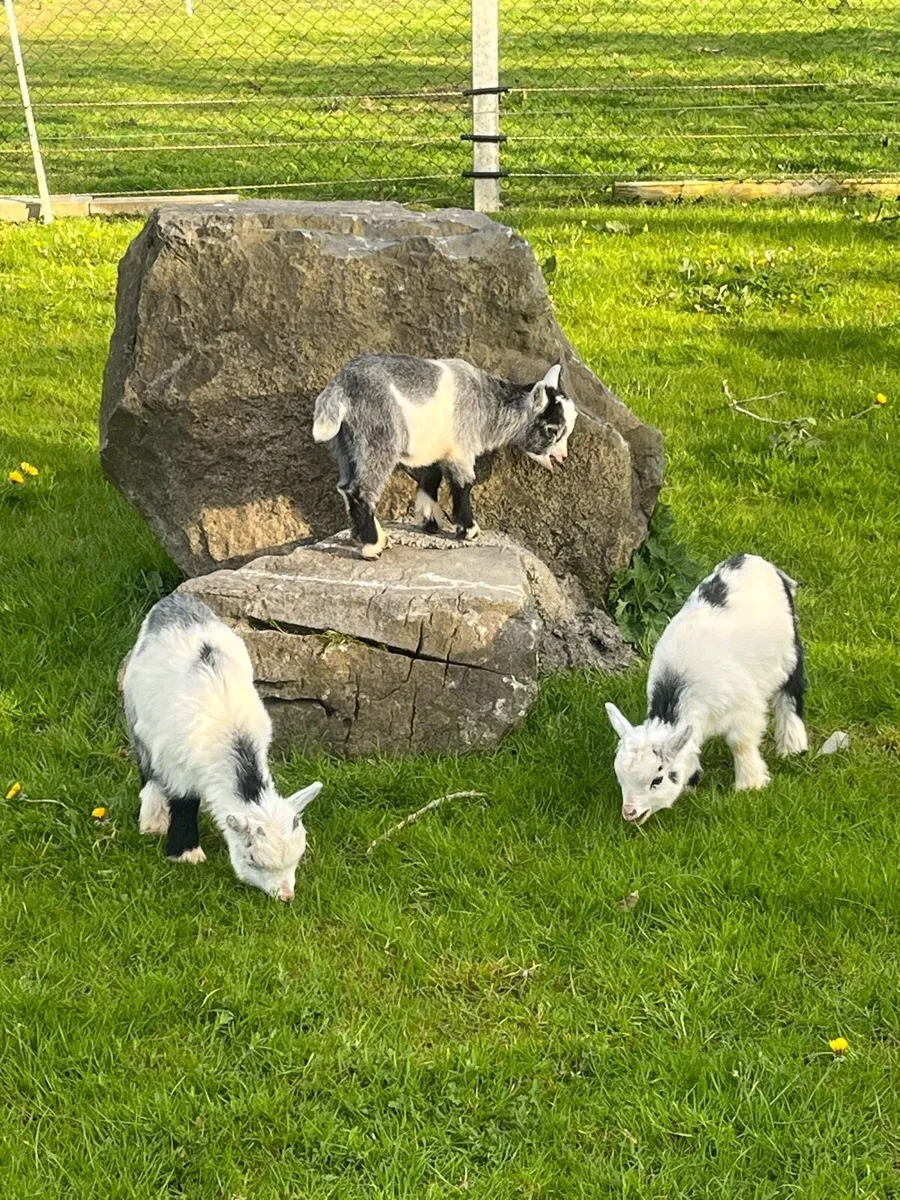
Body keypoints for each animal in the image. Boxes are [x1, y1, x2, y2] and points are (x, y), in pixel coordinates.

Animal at [122, 593, 322, 900]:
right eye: (252, 859)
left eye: (297, 857)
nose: (286, 896)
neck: (232, 736)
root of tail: (175, 600)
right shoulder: (176, 761)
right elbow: (184, 801)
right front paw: (187, 854)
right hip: (136, 715)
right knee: (147, 770)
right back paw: (153, 821)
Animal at [311, 354, 576, 558]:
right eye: (552, 430)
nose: (563, 457)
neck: (487, 406)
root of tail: (340, 389)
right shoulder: (461, 449)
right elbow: (464, 483)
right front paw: (468, 530)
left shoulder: (436, 448)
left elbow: (431, 477)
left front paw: (429, 520)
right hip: (378, 439)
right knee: (360, 490)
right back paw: (372, 546)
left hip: (346, 445)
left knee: (346, 487)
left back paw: (365, 536)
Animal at [605, 553, 808, 823]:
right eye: (620, 777)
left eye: (657, 780)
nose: (630, 813)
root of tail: (754, 560)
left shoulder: (745, 708)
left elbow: (741, 743)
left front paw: (750, 785)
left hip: (788, 650)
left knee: (791, 693)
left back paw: (793, 747)